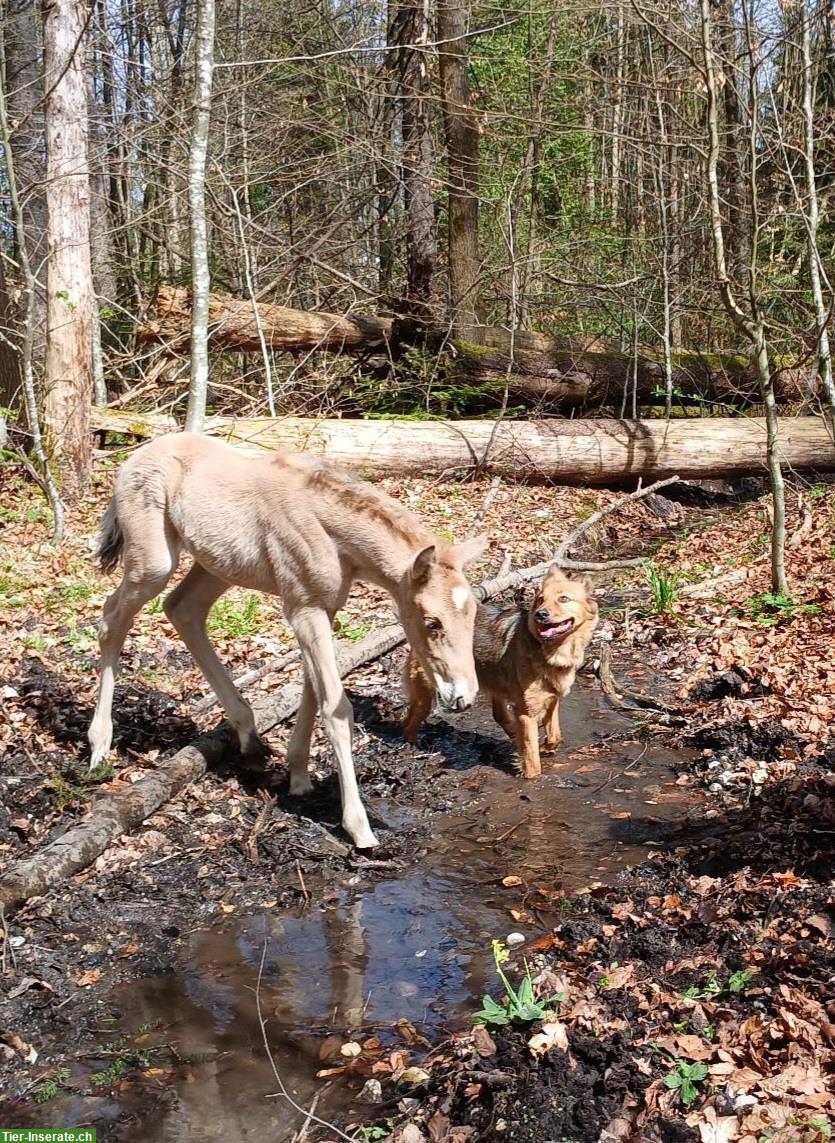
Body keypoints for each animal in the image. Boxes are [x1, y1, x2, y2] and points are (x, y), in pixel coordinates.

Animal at [86, 434, 484, 850]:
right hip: (153, 562)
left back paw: (249, 738)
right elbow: (336, 708)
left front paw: (299, 778)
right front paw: (359, 827)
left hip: (216, 565)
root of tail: (132, 458)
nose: (462, 696)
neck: (332, 536)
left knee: (183, 609)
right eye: (432, 621)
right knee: (111, 619)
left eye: (474, 613)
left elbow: (312, 691)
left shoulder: (322, 607)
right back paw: (99, 747)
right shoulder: (303, 607)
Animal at [404, 569, 603, 777]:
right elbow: (532, 762)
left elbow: (555, 736)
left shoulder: (552, 699)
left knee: (499, 714)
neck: (550, 651)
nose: (540, 614)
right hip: (426, 694)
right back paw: (411, 745)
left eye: (564, 598)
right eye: (541, 599)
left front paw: (543, 747)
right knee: (408, 723)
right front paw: (530, 773)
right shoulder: (526, 713)